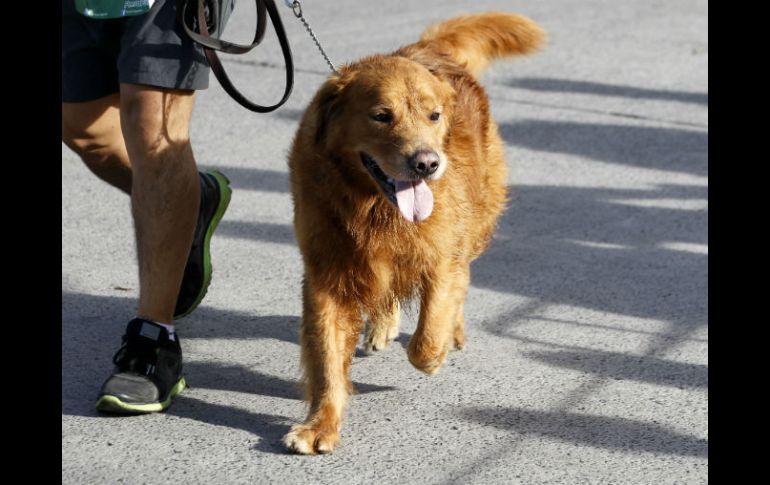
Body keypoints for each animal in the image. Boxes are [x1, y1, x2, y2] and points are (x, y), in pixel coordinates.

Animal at [284, 12, 544, 454]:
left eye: (433, 116)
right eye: (381, 115)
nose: (427, 163)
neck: (374, 208)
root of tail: (428, 47)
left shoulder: (442, 258)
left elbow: (427, 335)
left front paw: (435, 352)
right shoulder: (327, 272)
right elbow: (326, 357)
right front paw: (320, 425)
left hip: (478, 220)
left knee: (461, 280)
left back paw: (451, 331)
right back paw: (382, 326)